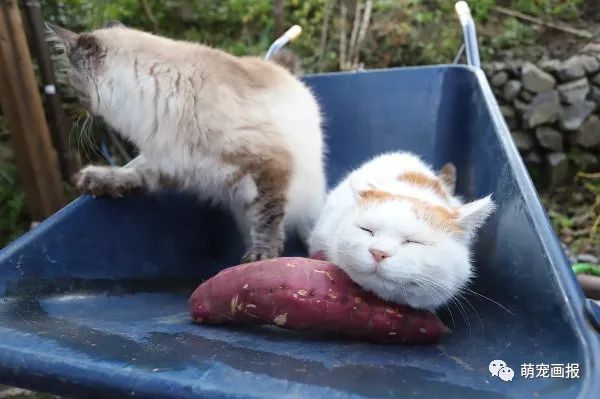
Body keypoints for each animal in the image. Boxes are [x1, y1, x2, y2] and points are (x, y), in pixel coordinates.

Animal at [49, 24, 326, 262]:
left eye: (72, 83)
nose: (77, 109)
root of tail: (281, 70)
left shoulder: (270, 163)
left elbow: (267, 219)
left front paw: (262, 256)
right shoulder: (170, 164)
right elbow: (130, 174)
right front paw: (94, 180)